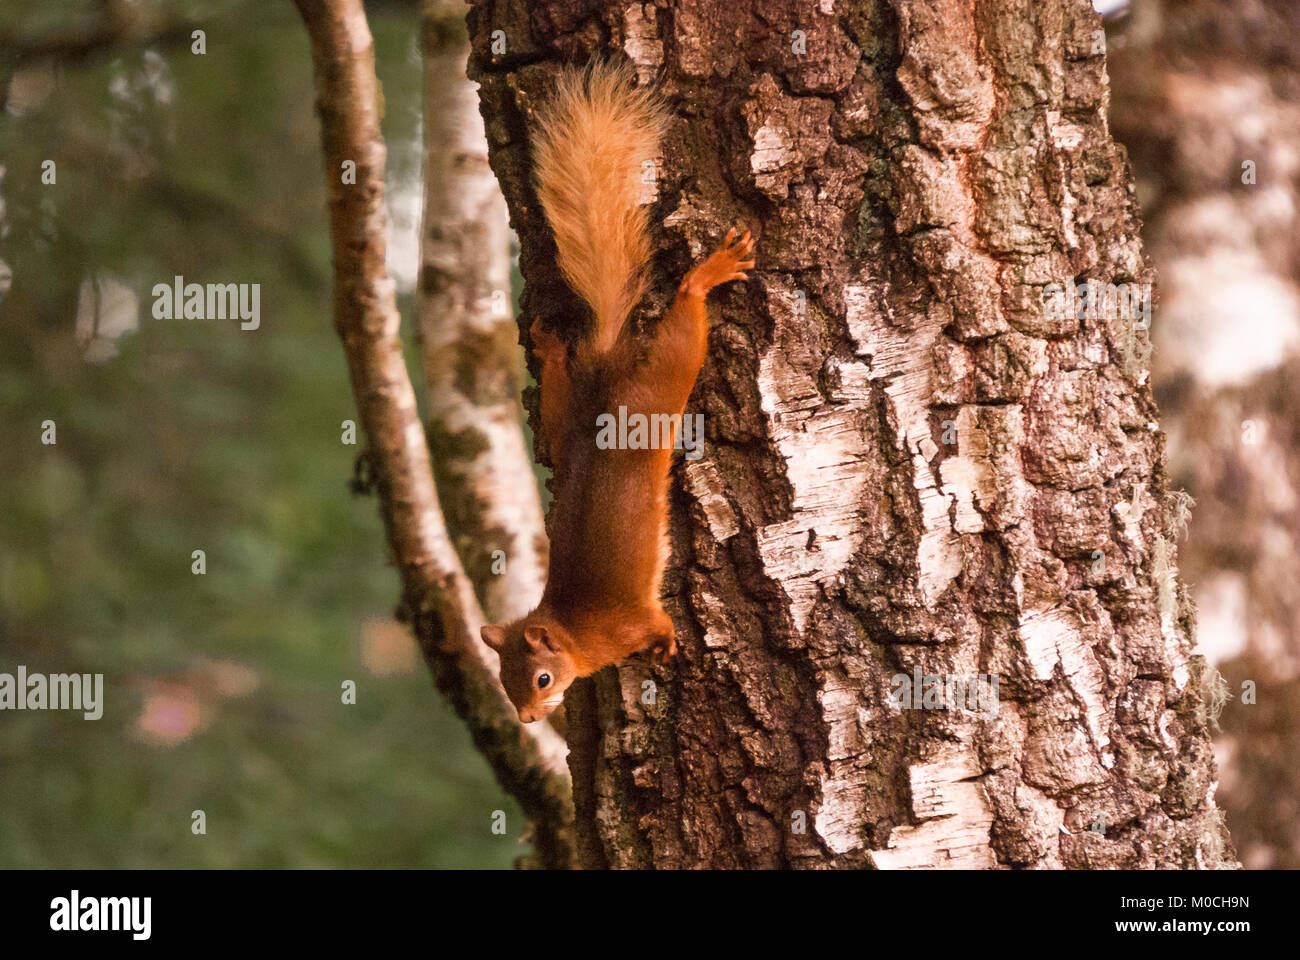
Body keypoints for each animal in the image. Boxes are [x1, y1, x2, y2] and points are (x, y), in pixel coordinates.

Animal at [483, 59, 759, 718]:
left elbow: (656, 626)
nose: (529, 717)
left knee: (683, 327)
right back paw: (551, 346)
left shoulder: (629, 623)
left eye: (541, 679)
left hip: (659, 390)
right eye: (504, 683)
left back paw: (705, 277)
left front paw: (668, 647)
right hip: (567, 424)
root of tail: (609, 378)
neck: (575, 632)